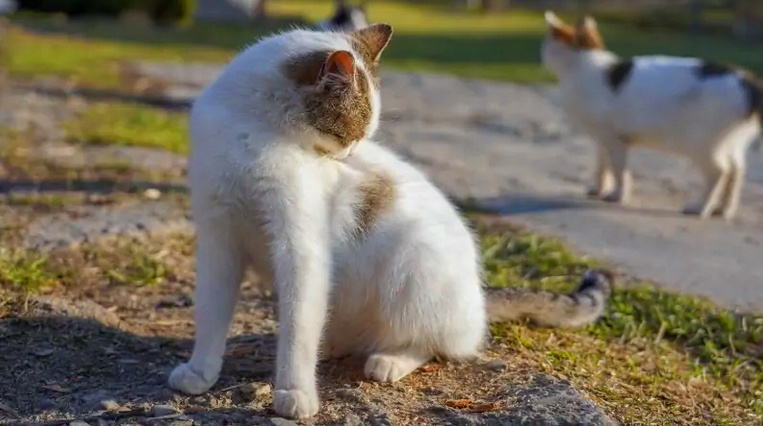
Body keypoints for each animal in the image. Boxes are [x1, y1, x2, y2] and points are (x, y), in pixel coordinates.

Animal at [170, 21, 612, 418]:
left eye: (360, 139)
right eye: (348, 136)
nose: (350, 157)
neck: (252, 131)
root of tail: (479, 298)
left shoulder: (301, 249)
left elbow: (297, 329)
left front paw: (296, 393)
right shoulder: (219, 237)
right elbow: (212, 314)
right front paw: (200, 373)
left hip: (415, 264)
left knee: (435, 343)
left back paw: (390, 360)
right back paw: (333, 344)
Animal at [544, 11, 763, 221]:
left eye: (548, 41)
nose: (542, 52)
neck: (584, 68)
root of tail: (747, 79)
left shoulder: (614, 139)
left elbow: (618, 170)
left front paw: (617, 195)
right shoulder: (602, 138)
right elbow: (602, 165)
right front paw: (598, 189)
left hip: (702, 143)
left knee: (720, 172)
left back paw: (700, 208)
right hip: (731, 143)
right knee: (737, 170)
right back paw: (723, 209)